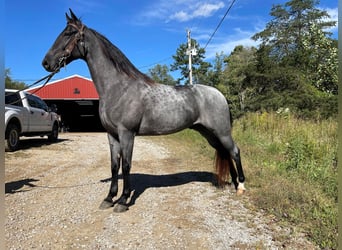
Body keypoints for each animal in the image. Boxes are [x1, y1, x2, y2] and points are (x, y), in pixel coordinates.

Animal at [42, 9, 246, 213]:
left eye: (68, 33)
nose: (46, 63)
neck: (118, 87)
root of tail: (219, 94)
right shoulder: (112, 134)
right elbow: (114, 165)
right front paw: (109, 198)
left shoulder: (127, 133)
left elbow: (126, 165)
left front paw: (123, 200)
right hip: (209, 134)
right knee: (226, 152)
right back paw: (234, 183)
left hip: (222, 132)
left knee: (235, 151)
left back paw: (241, 186)